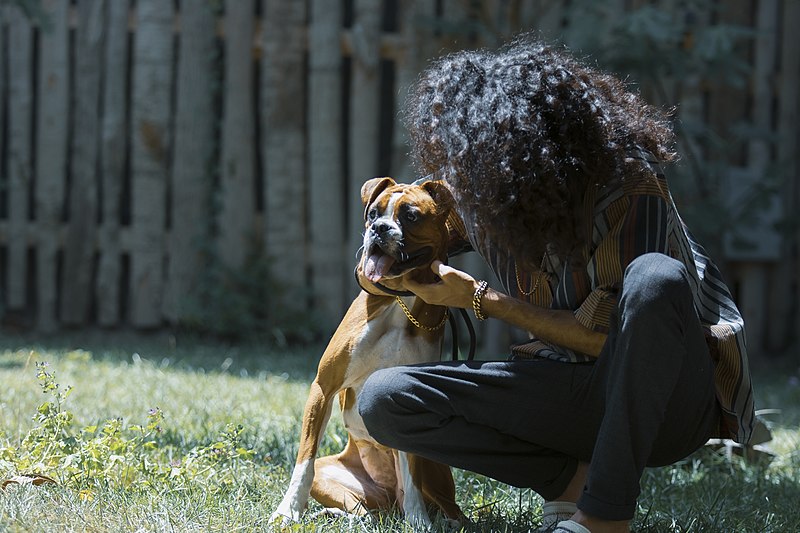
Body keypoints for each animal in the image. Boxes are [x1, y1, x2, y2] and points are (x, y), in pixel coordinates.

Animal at [272, 177, 466, 524]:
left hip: (434, 485)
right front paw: (288, 511)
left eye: (411, 216)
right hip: (337, 478)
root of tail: (386, 500)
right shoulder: (323, 388)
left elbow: (412, 479)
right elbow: (303, 462)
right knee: (363, 512)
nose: (379, 228)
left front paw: (420, 523)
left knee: (432, 504)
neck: (399, 301)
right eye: (373, 212)